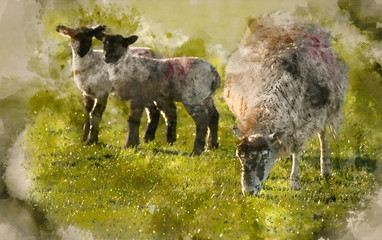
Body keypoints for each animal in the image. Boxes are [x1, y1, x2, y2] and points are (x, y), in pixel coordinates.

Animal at [224, 11, 350, 195]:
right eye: (239, 156)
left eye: (264, 156)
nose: (248, 192)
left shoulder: (301, 124)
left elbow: (297, 151)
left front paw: (294, 182)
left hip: (325, 109)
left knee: (323, 135)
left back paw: (325, 169)